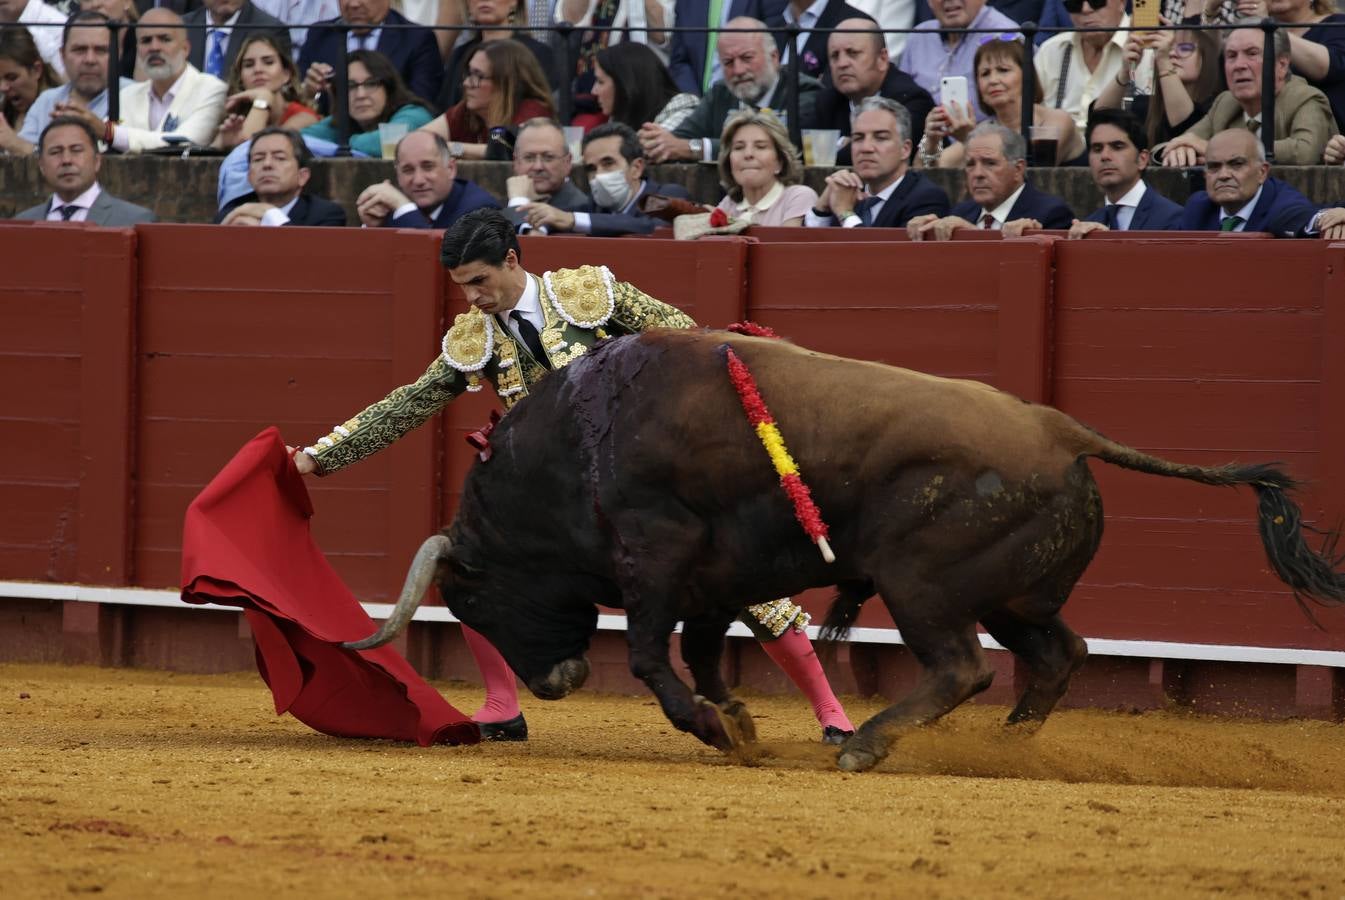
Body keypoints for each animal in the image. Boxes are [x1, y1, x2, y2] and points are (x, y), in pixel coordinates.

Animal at [347, 329, 1345, 774]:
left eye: (475, 601)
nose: (555, 682)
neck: (576, 444)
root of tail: (1062, 430)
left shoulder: (655, 559)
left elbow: (650, 656)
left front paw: (711, 725)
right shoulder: (716, 581)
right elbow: (706, 652)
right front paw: (738, 724)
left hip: (924, 584)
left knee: (962, 667)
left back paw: (866, 745)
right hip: (1009, 594)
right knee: (1058, 653)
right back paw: (1004, 748)